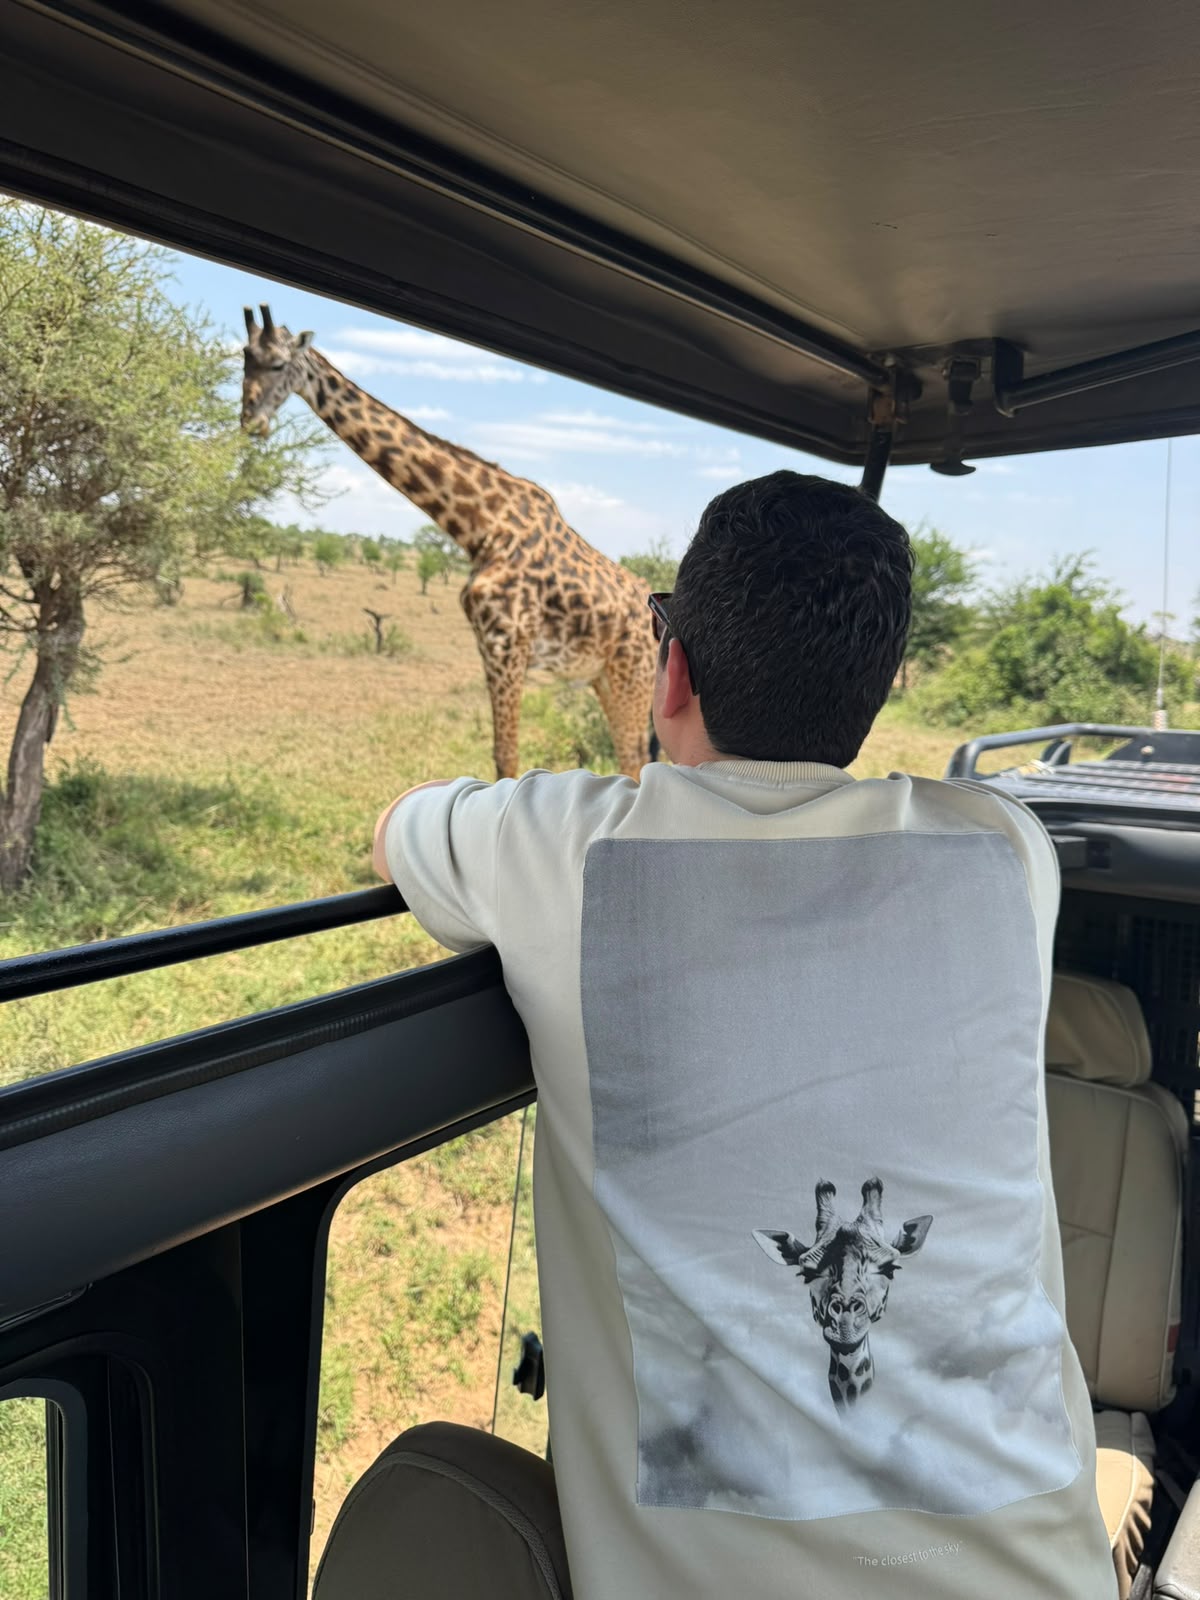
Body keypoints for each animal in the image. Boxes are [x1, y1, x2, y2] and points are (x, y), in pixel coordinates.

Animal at [239, 306, 658, 780]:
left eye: (278, 365)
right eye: (244, 358)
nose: (250, 419)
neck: (480, 525)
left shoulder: (507, 645)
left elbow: (507, 757)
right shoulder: (489, 648)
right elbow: (500, 754)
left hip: (632, 673)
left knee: (635, 755)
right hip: (604, 676)